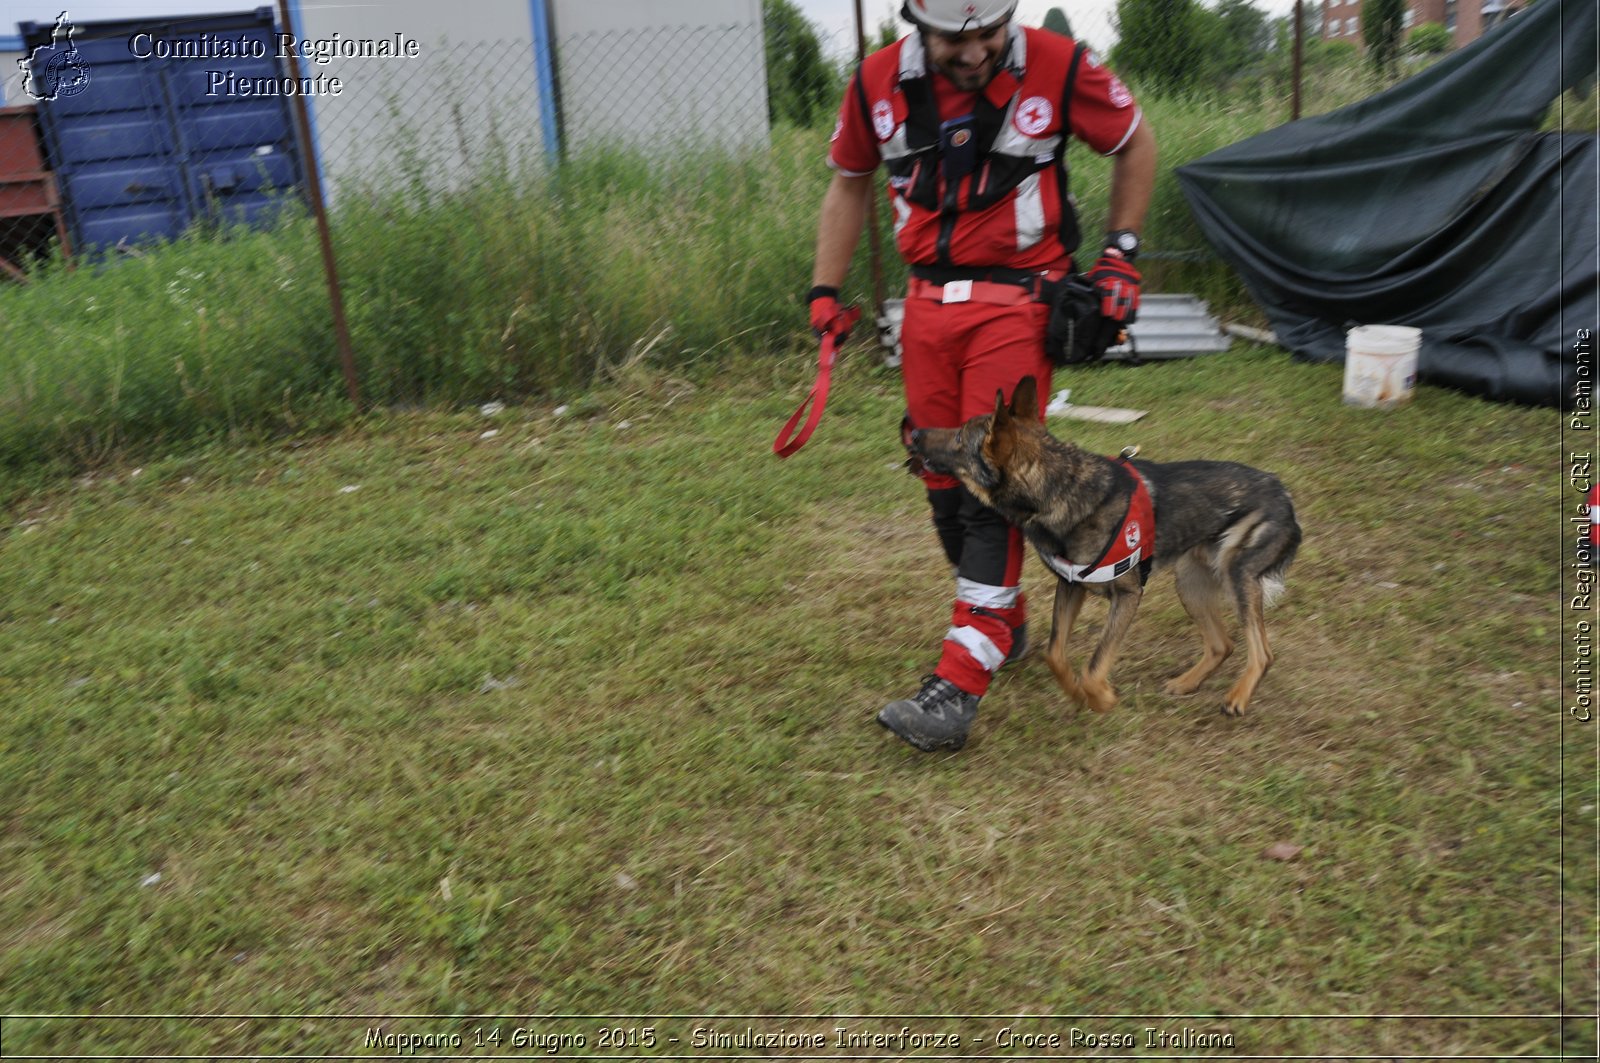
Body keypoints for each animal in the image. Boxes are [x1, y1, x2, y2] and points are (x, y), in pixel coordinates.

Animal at [915, 377, 1299, 717]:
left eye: (960, 436)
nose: (914, 432)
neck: (1060, 486)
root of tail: (1284, 493)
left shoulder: (1127, 596)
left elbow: (1095, 663)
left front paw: (1101, 699)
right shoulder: (1070, 586)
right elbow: (1054, 653)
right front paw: (1076, 693)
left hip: (1237, 576)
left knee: (1262, 652)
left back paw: (1238, 697)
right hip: (1190, 584)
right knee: (1223, 644)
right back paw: (1186, 683)